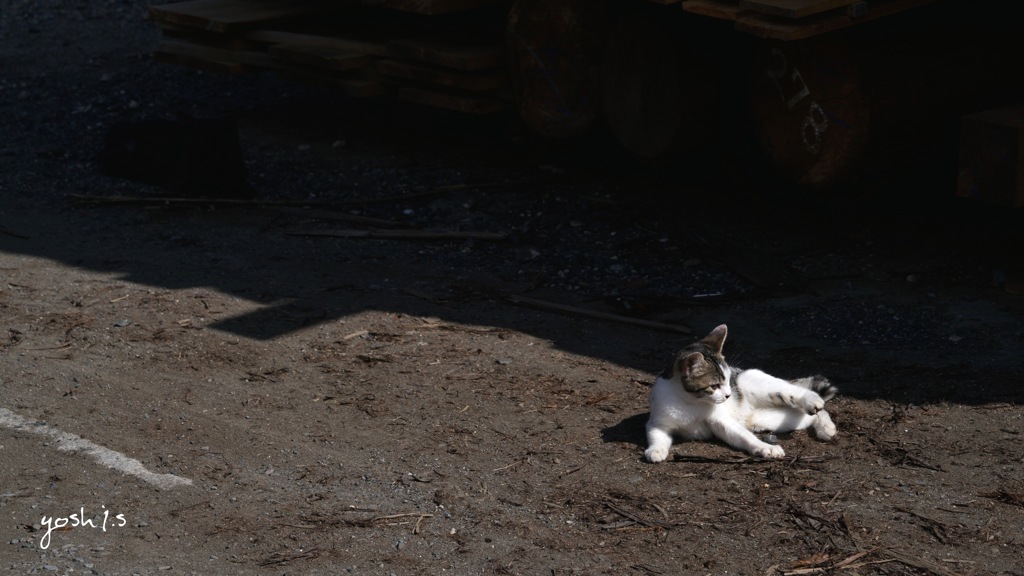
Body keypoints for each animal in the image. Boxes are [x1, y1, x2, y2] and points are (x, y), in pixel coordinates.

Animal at [643, 323, 835, 461]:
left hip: (763, 386)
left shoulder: (720, 420)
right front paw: (656, 450)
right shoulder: (658, 422)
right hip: (771, 419)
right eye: (714, 386)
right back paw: (825, 427)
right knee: (806, 416)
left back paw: (816, 407)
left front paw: (767, 447)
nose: (728, 395)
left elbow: (745, 437)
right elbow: (656, 435)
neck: (691, 401)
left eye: (727, 380)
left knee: (800, 393)